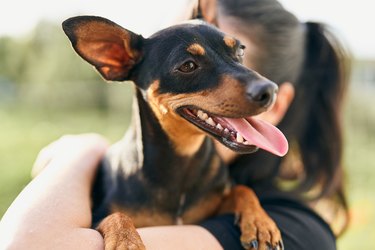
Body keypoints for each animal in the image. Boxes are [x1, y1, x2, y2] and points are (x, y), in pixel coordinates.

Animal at [64, 15, 288, 250]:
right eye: (188, 65)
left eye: (240, 50)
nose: (270, 90)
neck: (182, 159)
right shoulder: (97, 218)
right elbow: (116, 215)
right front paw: (126, 241)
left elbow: (242, 190)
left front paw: (260, 223)